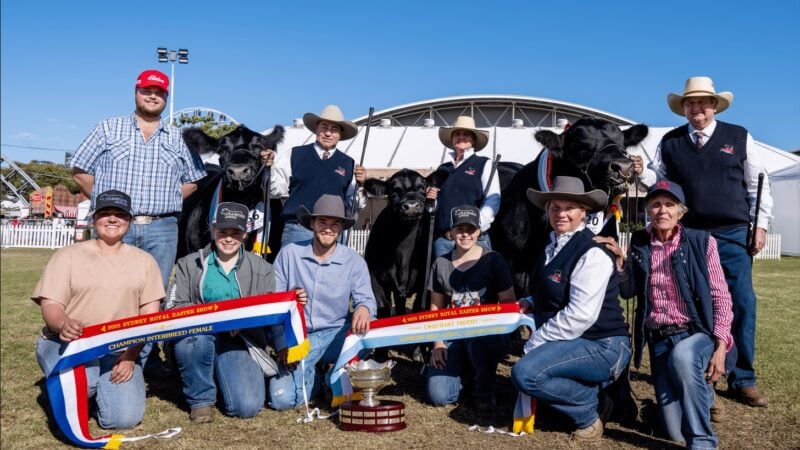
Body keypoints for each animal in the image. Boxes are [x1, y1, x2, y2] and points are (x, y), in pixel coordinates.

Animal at [362, 167, 450, 318]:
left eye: (422, 188)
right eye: (393, 191)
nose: (412, 206)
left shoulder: (426, 286)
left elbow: (418, 308)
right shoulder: (374, 278)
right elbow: (383, 307)